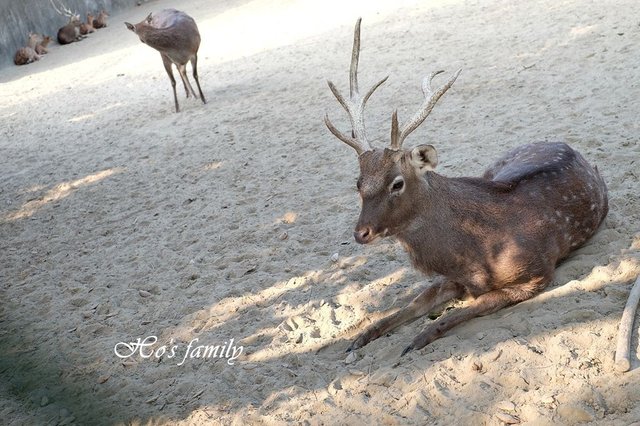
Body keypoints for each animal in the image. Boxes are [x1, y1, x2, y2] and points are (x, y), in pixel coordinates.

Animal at [324, 18, 608, 356]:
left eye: (397, 183)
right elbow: (412, 304)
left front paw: (416, 340)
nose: (361, 233)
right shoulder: (453, 277)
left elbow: (458, 313)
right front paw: (361, 337)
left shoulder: (537, 273)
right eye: (358, 183)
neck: (474, 256)